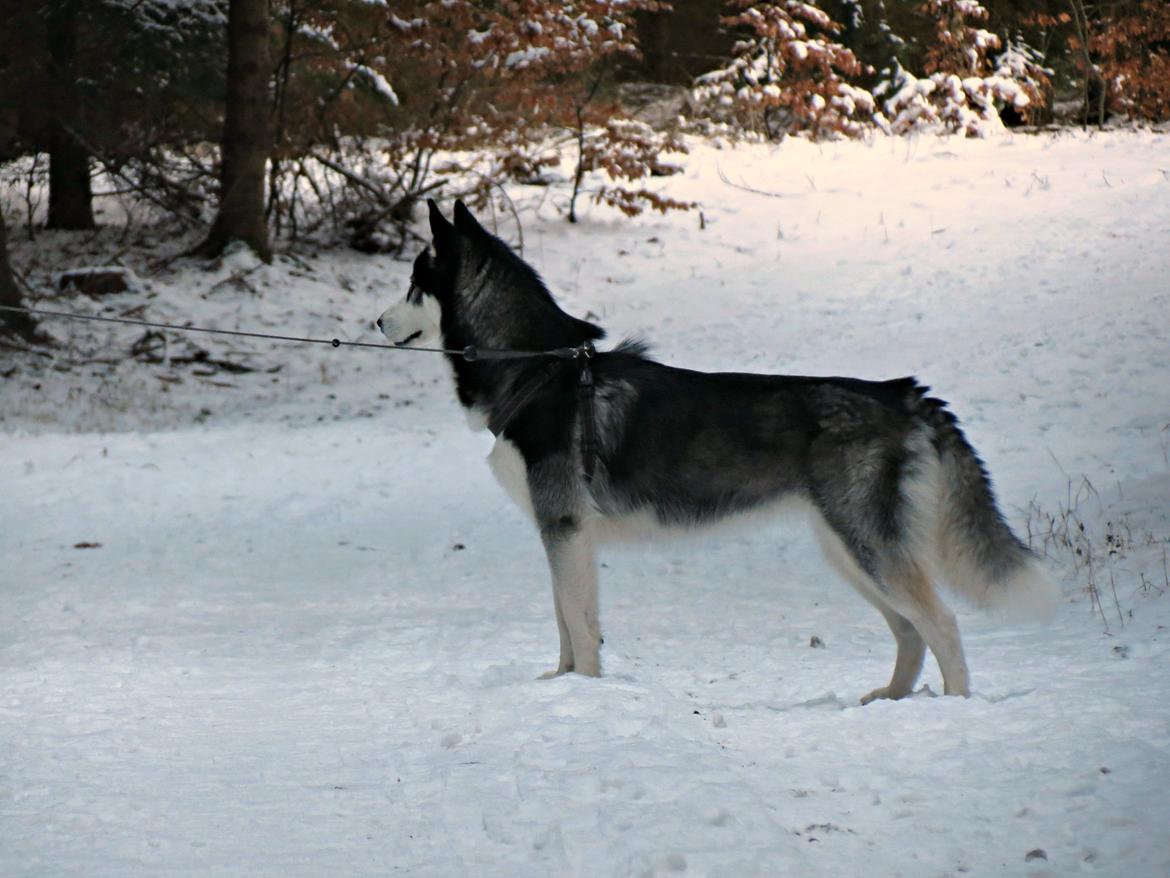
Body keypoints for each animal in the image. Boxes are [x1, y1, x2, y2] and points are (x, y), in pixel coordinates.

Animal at [379, 202, 1057, 707]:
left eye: (413, 284)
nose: (378, 324)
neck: (537, 368)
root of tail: (903, 393)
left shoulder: (565, 528)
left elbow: (580, 626)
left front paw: (585, 697)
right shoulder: (561, 530)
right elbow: (566, 627)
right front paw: (563, 687)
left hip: (869, 548)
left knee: (941, 624)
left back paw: (955, 707)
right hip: (847, 552)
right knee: (911, 631)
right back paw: (890, 701)